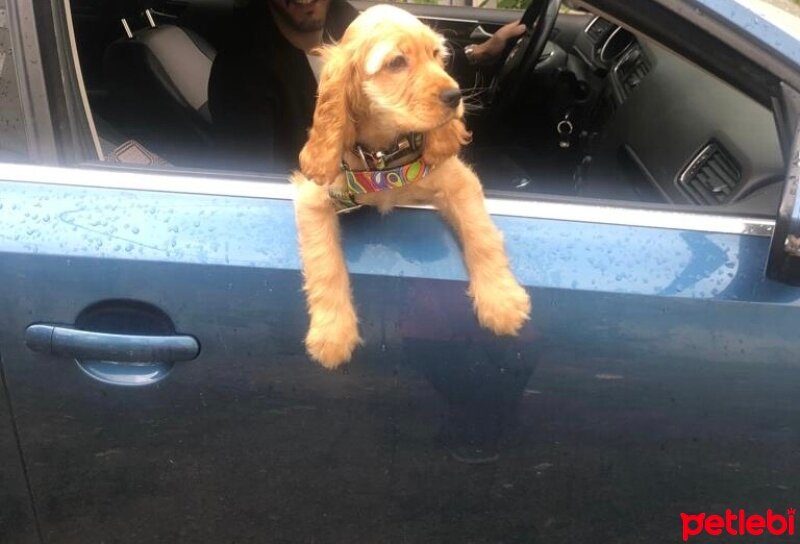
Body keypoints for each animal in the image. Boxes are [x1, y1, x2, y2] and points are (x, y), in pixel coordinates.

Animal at [292, 4, 532, 368]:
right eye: (396, 62)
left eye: (436, 55)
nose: (455, 95)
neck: (384, 158)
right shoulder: (313, 197)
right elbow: (324, 261)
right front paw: (332, 333)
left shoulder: (459, 181)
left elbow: (481, 233)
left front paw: (501, 300)